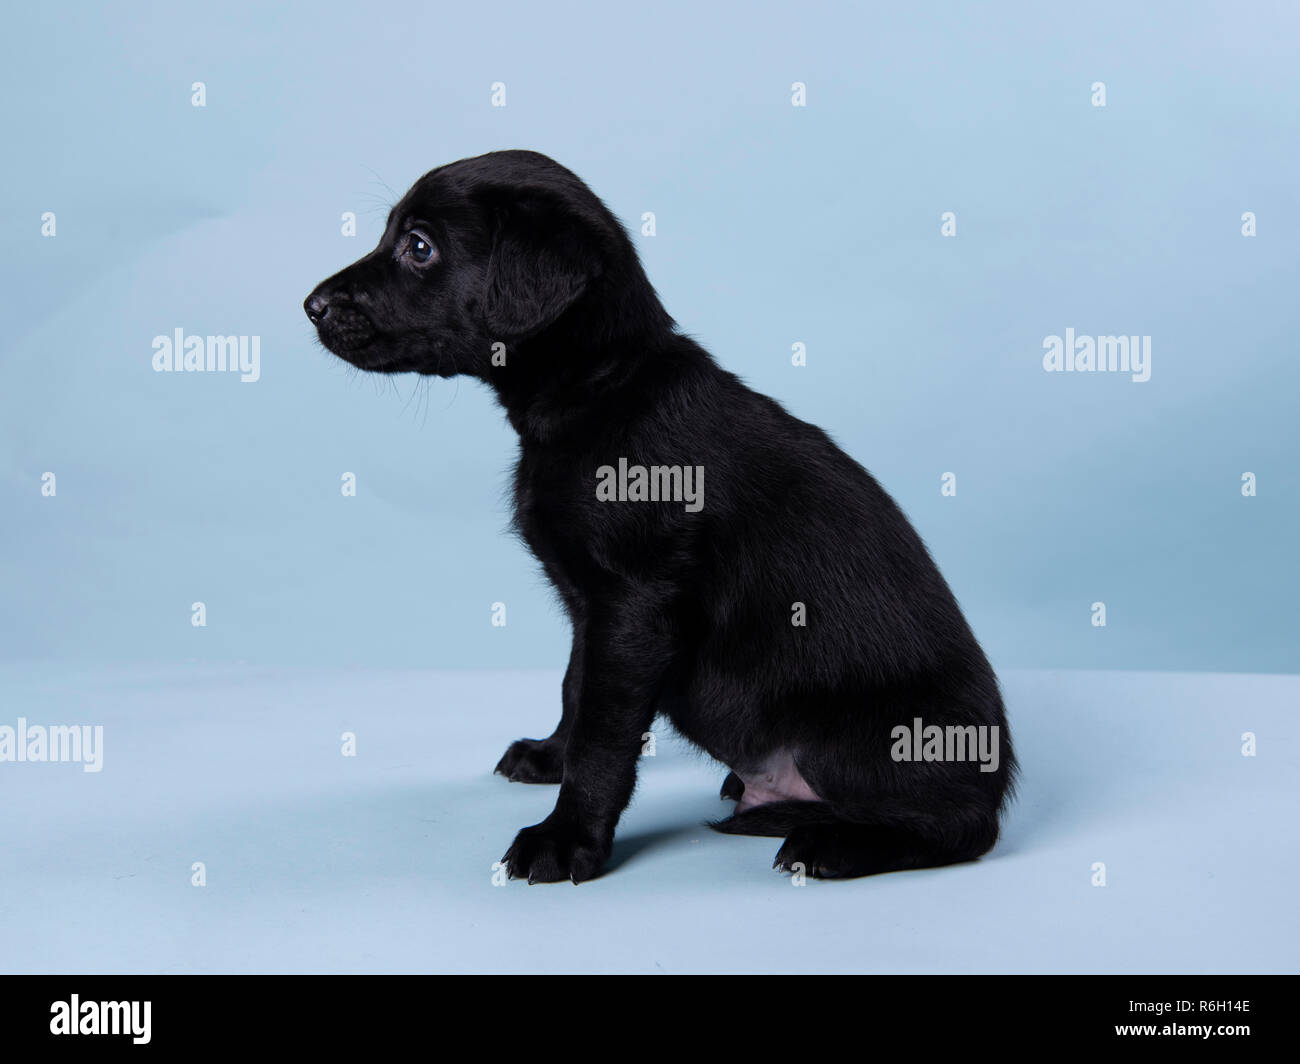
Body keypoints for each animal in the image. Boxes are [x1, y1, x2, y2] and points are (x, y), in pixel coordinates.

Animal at [306, 149, 1013, 879]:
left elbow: (603, 738)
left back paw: (831, 842)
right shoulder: (591, 611)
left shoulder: (635, 608)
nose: (310, 306)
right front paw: (550, 757)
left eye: (419, 247)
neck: (600, 391)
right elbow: (576, 692)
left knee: (959, 826)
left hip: (874, 740)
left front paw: (567, 838)